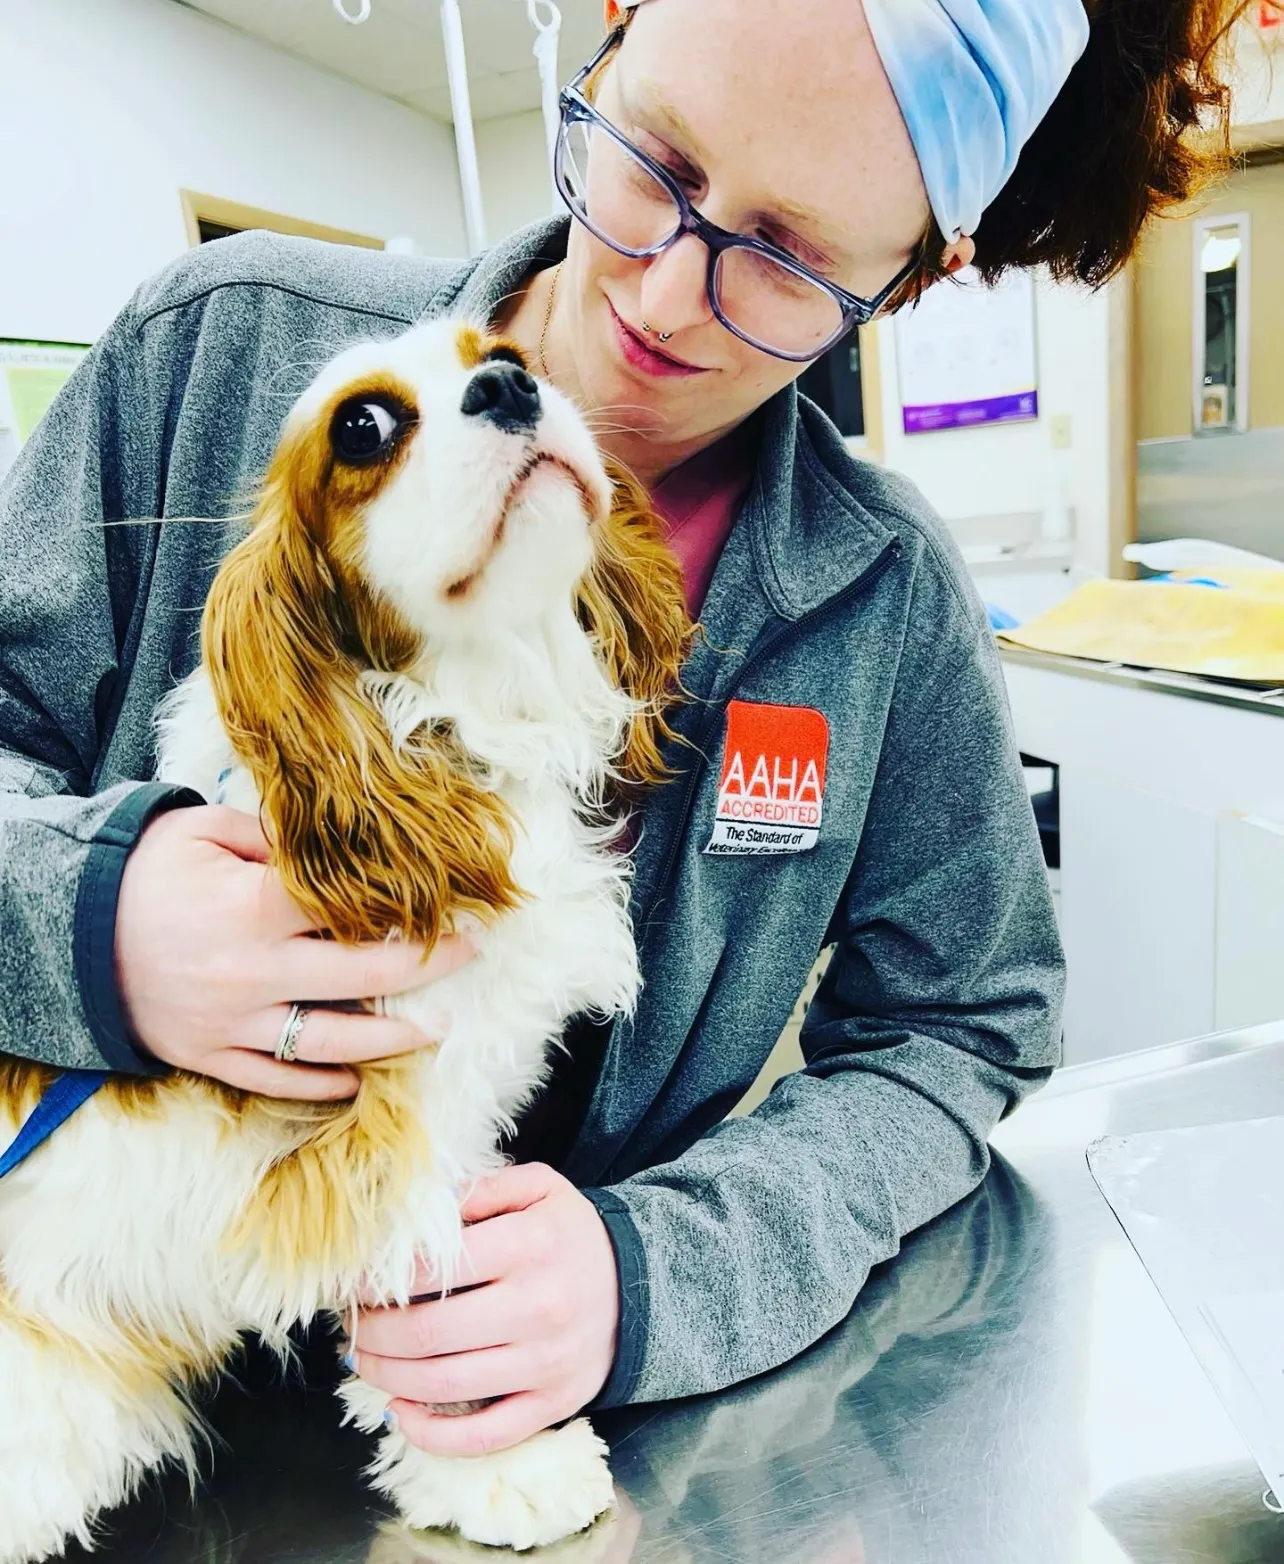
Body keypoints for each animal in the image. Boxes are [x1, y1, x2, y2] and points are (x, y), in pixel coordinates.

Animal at [0, 311, 691, 1557]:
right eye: (363, 427)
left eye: (509, 350)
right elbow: (426, 1274)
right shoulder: (389, 1127)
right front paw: (494, 1463)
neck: (454, 725)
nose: (510, 387)